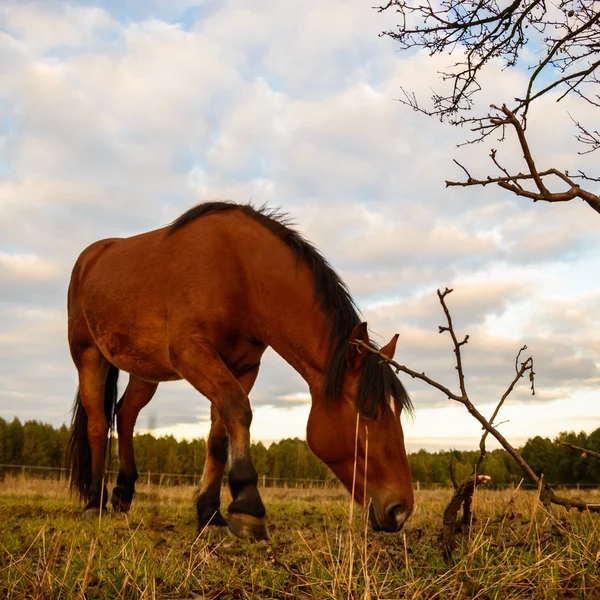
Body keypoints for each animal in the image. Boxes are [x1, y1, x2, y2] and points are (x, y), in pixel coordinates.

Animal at [65, 202, 412, 540]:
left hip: (145, 369)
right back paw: (94, 502)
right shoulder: (193, 354)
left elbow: (219, 435)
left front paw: (210, 513)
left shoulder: (243, 367)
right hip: (89, 356)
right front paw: (248, 507)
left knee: (125, 415)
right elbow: (238, 410)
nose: (401, 509)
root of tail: (90, 258)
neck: (240, 274)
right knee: (97, 424)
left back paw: (123, 493)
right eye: (369, 411)